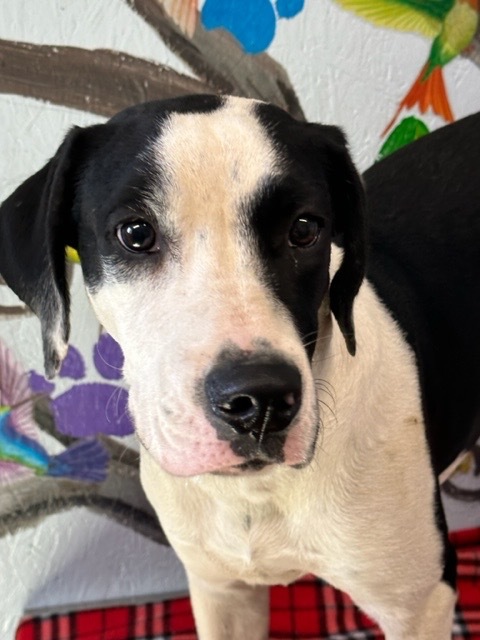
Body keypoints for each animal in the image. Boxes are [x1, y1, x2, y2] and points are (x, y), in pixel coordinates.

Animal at [1, 95, 479, 639]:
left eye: (304, 229)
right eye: (135, 233)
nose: (259, 402)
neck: (257, 492)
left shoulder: (419, 606)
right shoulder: (220, 591)